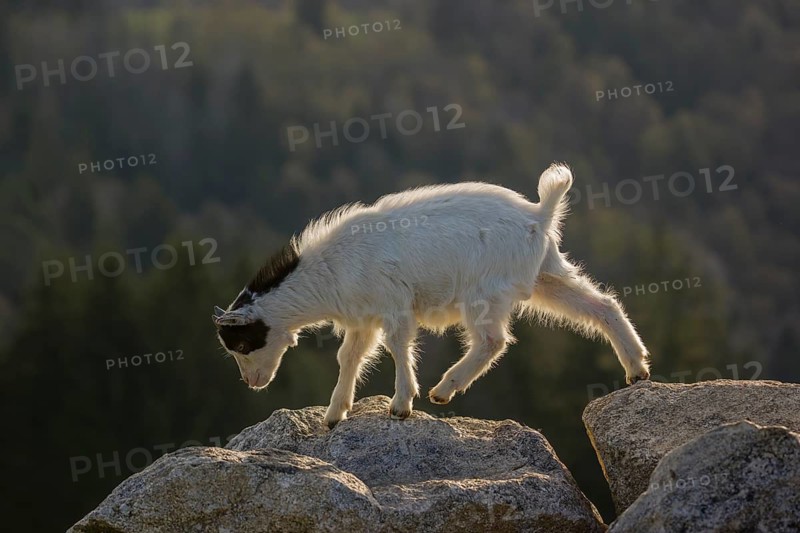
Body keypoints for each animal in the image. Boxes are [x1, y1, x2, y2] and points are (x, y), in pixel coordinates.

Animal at [213, 164, 651, 428]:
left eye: (243, 344)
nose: (252, 383)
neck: (331, 267)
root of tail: (539, 215)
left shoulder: (394, 306)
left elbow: (398, 345)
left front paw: (401, 404)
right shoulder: (363, 319)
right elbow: (350, 356)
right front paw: (335, 415)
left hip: (484, 291)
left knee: (492, 340)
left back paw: (444, 389)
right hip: (547, 275)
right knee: (602, 305)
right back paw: (636, 368)